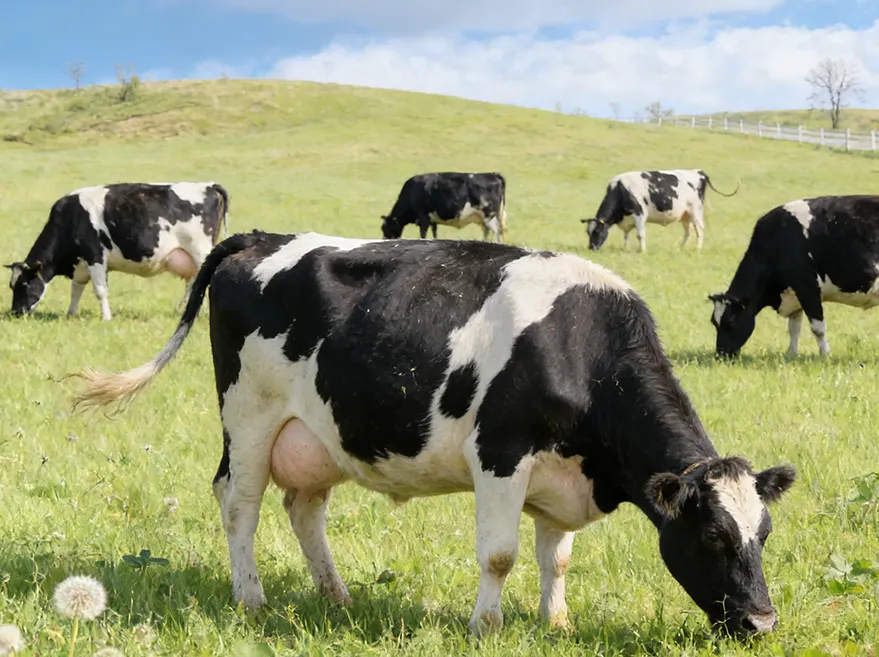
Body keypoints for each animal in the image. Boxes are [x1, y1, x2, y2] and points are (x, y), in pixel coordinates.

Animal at [6, 181, 229, 320]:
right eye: (11, 286)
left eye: (25, 284)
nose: (15, 313)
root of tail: (209, 185)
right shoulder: (81, 264)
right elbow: (76, 289)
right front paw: (71, 314)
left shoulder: (95, 256)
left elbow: (100, 290)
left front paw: (106, 318)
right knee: (194, 282)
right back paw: (182, 310)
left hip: (200, 250)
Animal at [70, 231, 796, 638]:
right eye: (712, 536)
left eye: (762, 535)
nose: (761, 623)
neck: (579, 342)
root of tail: (255, 237)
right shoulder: (501, 452)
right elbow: (500, 554)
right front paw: (486, 625)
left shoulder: (560, 474)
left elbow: (555, 557)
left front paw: (555, 620)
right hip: (248, 414)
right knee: (238, 503)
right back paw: (251, 599)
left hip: (319, 431)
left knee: (302, 506)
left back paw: (335, 595)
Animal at [581, 169, 740, 252]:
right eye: (588, 232)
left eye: (597, 232)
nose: (591, 248)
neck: (620, 189)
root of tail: (698, 172)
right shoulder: (628, 218)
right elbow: (626, 235)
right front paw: (625, 249)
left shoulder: (639, 214)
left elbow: (640, 235)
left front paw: (642, 251)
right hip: (685, 215)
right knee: (688, 231)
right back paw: (681, 248)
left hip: (695, 211)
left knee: (700, 229)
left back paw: (698, 249)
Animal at [710, 195, 879, 359]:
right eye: (713, 322)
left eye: (731, 321)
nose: (721, 355)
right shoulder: (794, 294)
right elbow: (794, 327)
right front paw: (791, 354)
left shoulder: (808, 288)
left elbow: (818, 328)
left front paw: (825, 355)